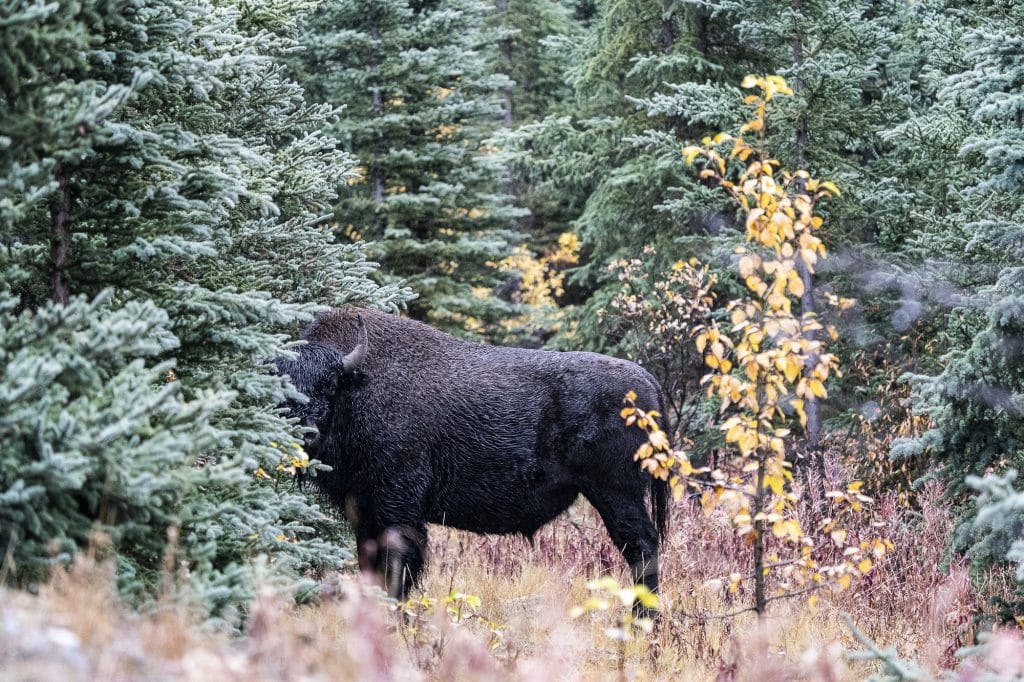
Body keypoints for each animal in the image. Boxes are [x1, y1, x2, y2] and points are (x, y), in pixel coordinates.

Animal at [276, 308, 668, 614]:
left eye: (328, 386)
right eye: (283, 385)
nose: (304, 433)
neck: (357, 388)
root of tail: (648, 380)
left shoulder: (398, 506)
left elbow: (399, 566)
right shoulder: (364, 512)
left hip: (617, 494)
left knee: (641, 547)